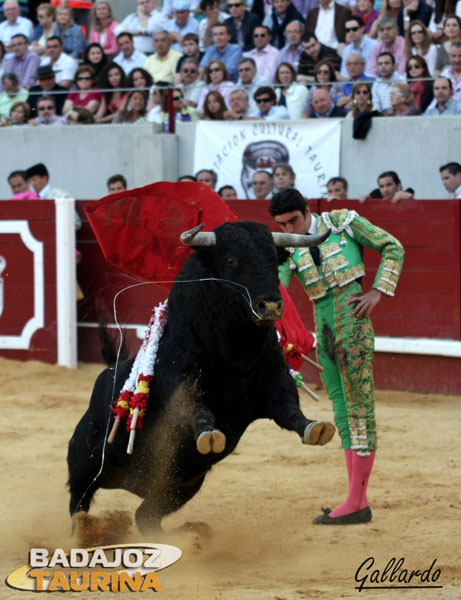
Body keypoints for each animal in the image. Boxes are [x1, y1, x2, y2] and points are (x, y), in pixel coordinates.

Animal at [67, 219, 334, 528]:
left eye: (272, 261)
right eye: (231, 260)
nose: (270, 305)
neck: (236, 351)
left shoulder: (274, 381)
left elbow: (289, 409)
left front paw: (316, 428)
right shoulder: (180, 383)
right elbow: (194, 408)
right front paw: (209, 434)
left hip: (179, 488)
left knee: (145, 517)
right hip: (84, 464)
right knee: (79, 504)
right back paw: (83, 531)